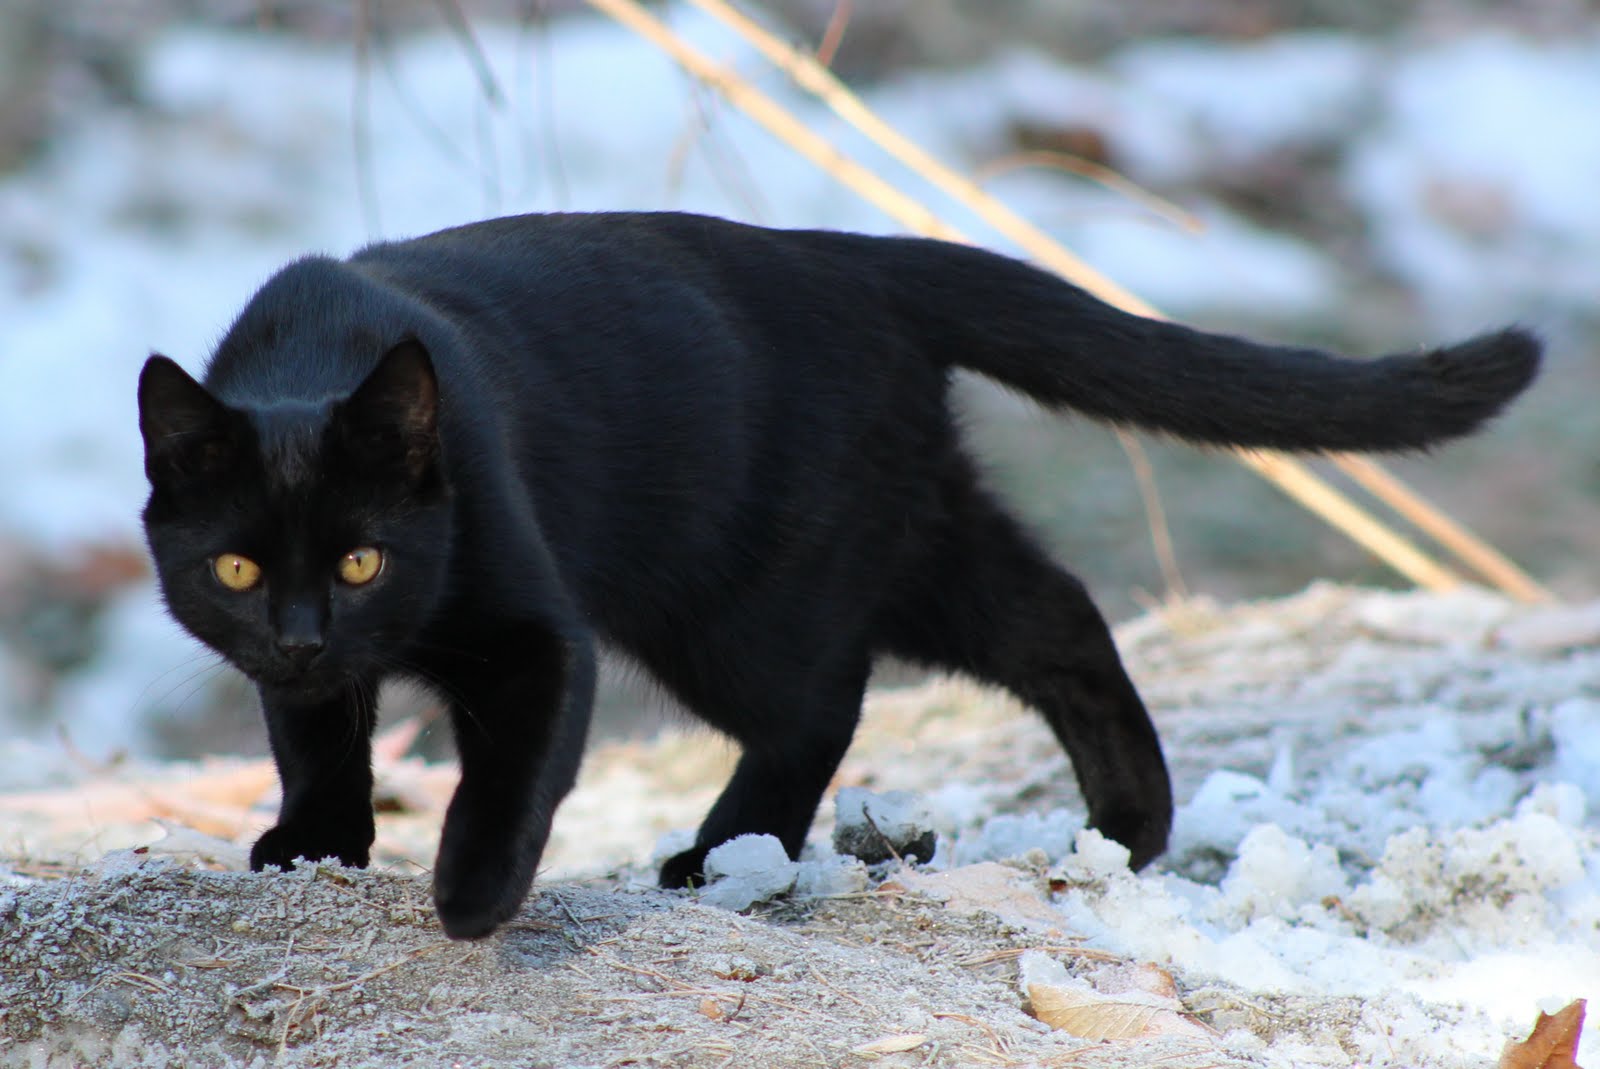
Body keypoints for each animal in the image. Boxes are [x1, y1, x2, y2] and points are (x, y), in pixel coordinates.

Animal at [137, 212, 1536, 940]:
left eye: (363, 557)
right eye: (239, 563)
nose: (306, 629)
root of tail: (846, 253)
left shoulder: (538, 634)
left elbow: (507, 777)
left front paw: (472, 897)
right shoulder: (301, 674)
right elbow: (313, 739)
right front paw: (314, 843)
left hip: (738, 593)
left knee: (825, 699)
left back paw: (718, 856)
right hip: (910, 533)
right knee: (1056, 614)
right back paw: (1126, 828)